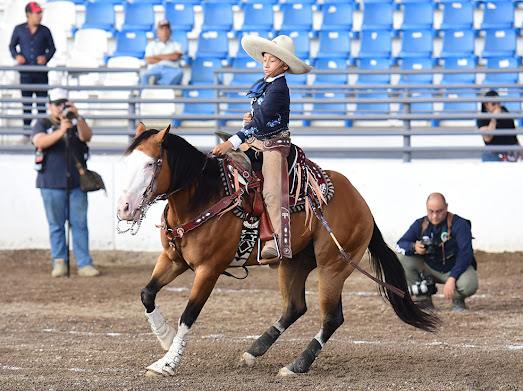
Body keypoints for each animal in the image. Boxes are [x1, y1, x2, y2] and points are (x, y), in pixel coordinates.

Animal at [116, 124, 440, 378]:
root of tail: (362, 204)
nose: (125, 209)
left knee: (331, 318)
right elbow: (147, 293)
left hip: (333, 266)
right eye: (126, 162)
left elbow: (188, 315)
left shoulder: (209, 269)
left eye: (150, 164)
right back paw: (253, 351)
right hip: (294, 262)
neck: (204, 196)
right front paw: (164, 337)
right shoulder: (173, 259)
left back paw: (297, 365)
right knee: (295, 307)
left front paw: (168, 363)